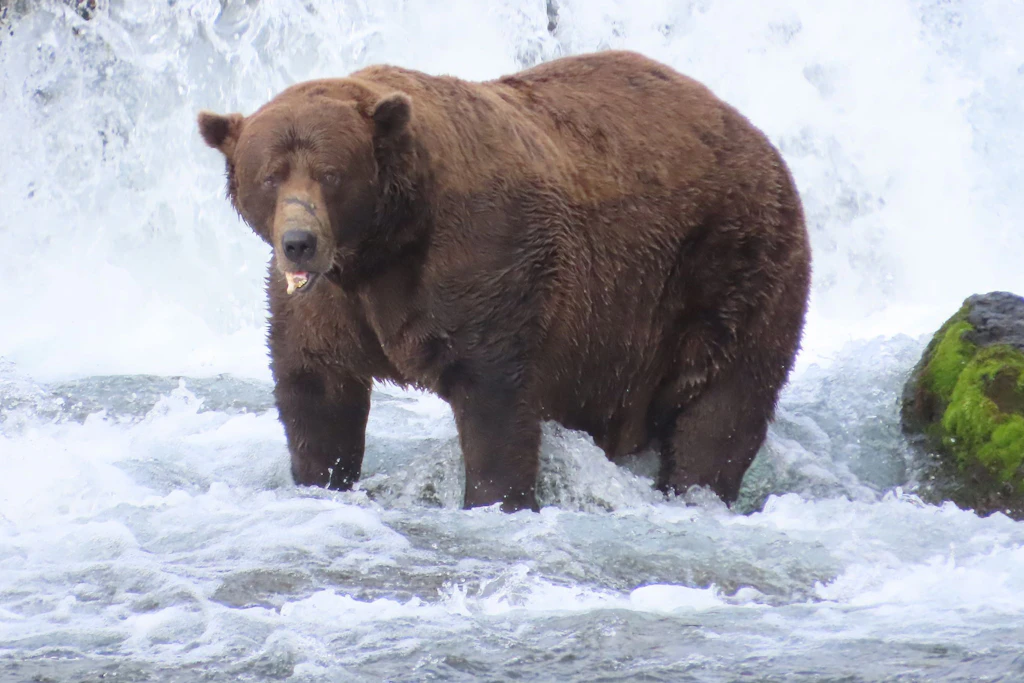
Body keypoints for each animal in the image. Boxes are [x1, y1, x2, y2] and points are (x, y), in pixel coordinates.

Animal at [198, 50, 811, 512]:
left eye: (331, 174)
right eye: (270, 175)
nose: (299, 241)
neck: (383, 246)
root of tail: (755, 134)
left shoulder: (486, 261)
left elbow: (494, 397)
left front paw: (496, 498)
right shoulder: (328, 304)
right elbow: (316, 389)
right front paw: (321, 478)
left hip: (728, 264)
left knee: (724, 404)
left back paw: (695, 489)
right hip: (620, 337)